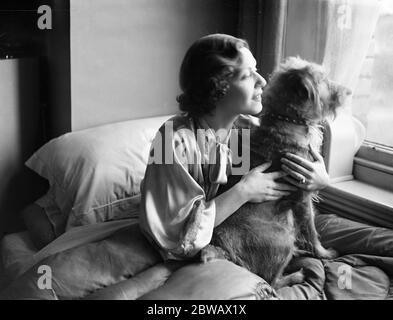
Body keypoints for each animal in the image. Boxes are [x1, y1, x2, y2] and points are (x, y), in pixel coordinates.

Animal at [201, 56, 350, 288]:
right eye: (324, 80)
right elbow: (312, 231)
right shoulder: (302, 197)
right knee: (271, 281)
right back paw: (296, 274)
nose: (348, 91)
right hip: (282, 236)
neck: (288, 120)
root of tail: (223, 250)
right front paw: (324, 253)